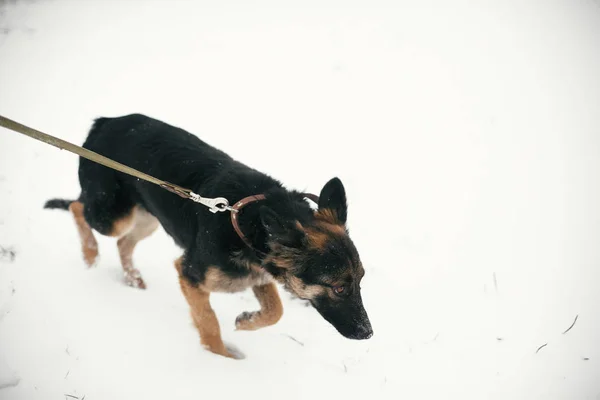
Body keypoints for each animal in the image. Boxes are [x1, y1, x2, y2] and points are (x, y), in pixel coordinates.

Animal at [47, 113, 372, 360]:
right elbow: (210, 321)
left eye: (360, 281)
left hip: (147, 217)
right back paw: (90, 254)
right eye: (338, 288)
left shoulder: (257, 274)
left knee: (123, 241)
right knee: (78, 208)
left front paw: (246, 321)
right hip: (114, 216)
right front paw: (220, 361)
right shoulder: (190, 273)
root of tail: (106, 121)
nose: (367, 333)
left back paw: (133, 279)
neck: (247, 221)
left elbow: (275, 311)